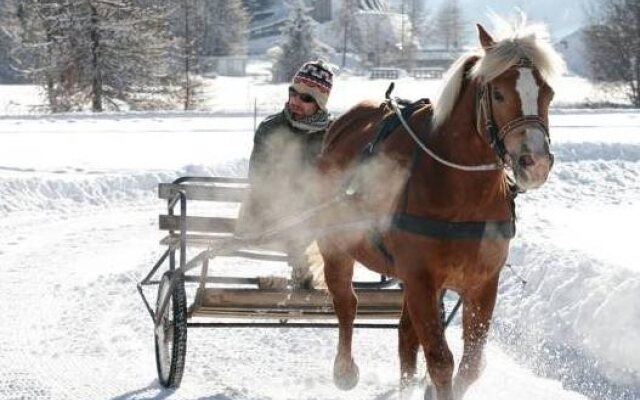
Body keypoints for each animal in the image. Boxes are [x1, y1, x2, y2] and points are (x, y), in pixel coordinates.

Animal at [316, 21, 564, 400]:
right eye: (498, 94)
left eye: (547, 93)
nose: (535, 163)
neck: (461, 191)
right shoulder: (421, 278)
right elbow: (441, 361)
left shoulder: (481, 282)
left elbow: (471, 366)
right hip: (336, 241)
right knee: (346, 300)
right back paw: (345, 368)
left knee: (405, 337)